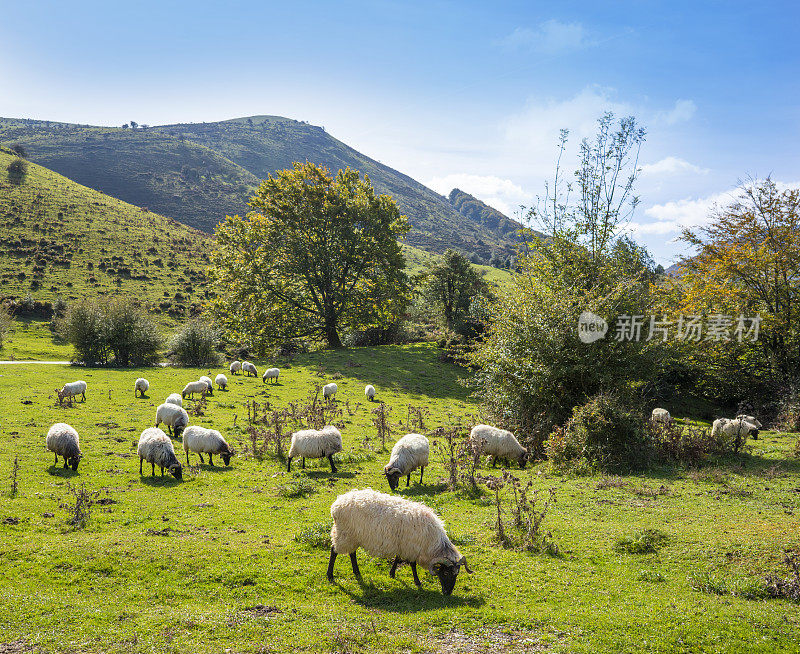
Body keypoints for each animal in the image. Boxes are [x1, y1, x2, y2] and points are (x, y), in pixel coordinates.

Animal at [328, 490, 472, 596]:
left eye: (456, 574)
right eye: (446, 573)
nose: (448, 592)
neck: (433, 543)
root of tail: (336, 504)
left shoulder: (403, 545)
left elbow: (397, 558)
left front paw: (392, 573)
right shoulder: (411, 547)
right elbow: (412, 565)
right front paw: (417, 581)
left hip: (353, 536)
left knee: (352, 553)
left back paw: (357, 572)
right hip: (345, 534)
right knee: (334, 550)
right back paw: (330, 575)